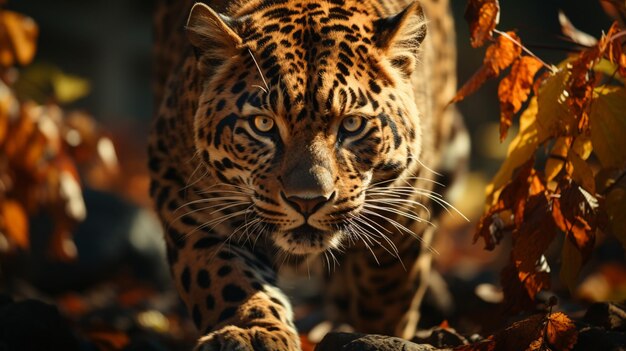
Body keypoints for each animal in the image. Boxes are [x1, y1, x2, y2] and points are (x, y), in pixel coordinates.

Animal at [149, 0, 466, 350]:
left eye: (352, 124)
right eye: (263, 124)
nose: (307, 201)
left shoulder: (405, 203)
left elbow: (386, 290)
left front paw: (380, 332)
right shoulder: (184, 190)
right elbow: (221, 273)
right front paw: (251, 331)